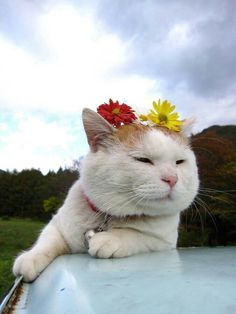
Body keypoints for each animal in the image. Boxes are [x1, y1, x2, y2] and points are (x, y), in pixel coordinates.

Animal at [12, 108, 197, 282]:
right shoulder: (58, 225)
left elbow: (138, 235)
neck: (108, 216)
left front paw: (110, 238)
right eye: (143, 160)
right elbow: (47, 241)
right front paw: (30, 258)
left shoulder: (166, 243)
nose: (172, 179)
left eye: (180, 162)